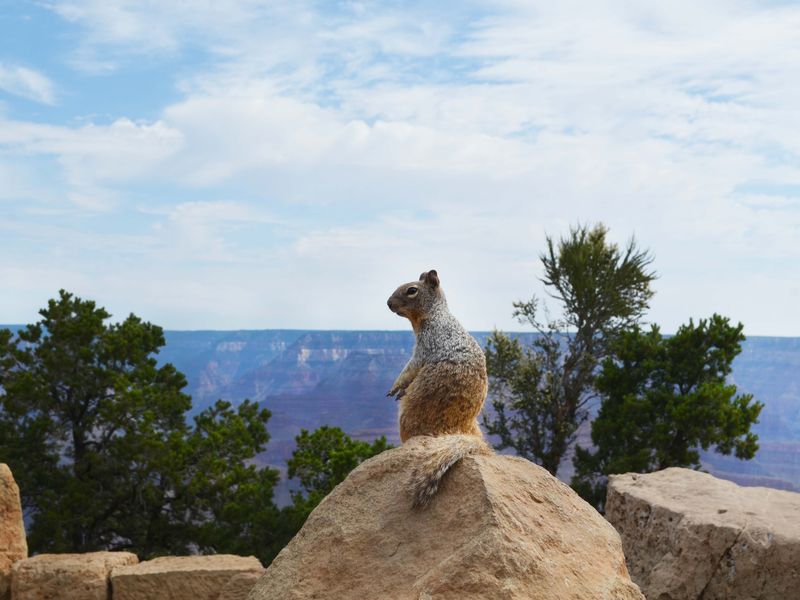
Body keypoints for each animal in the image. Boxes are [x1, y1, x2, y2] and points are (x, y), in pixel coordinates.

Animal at [387, 269, 491, 507]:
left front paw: (397, 387)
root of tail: (460, 429)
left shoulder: (425, 345)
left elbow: (411, 367)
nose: (388, 303)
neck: (435, 314)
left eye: (412, 290)